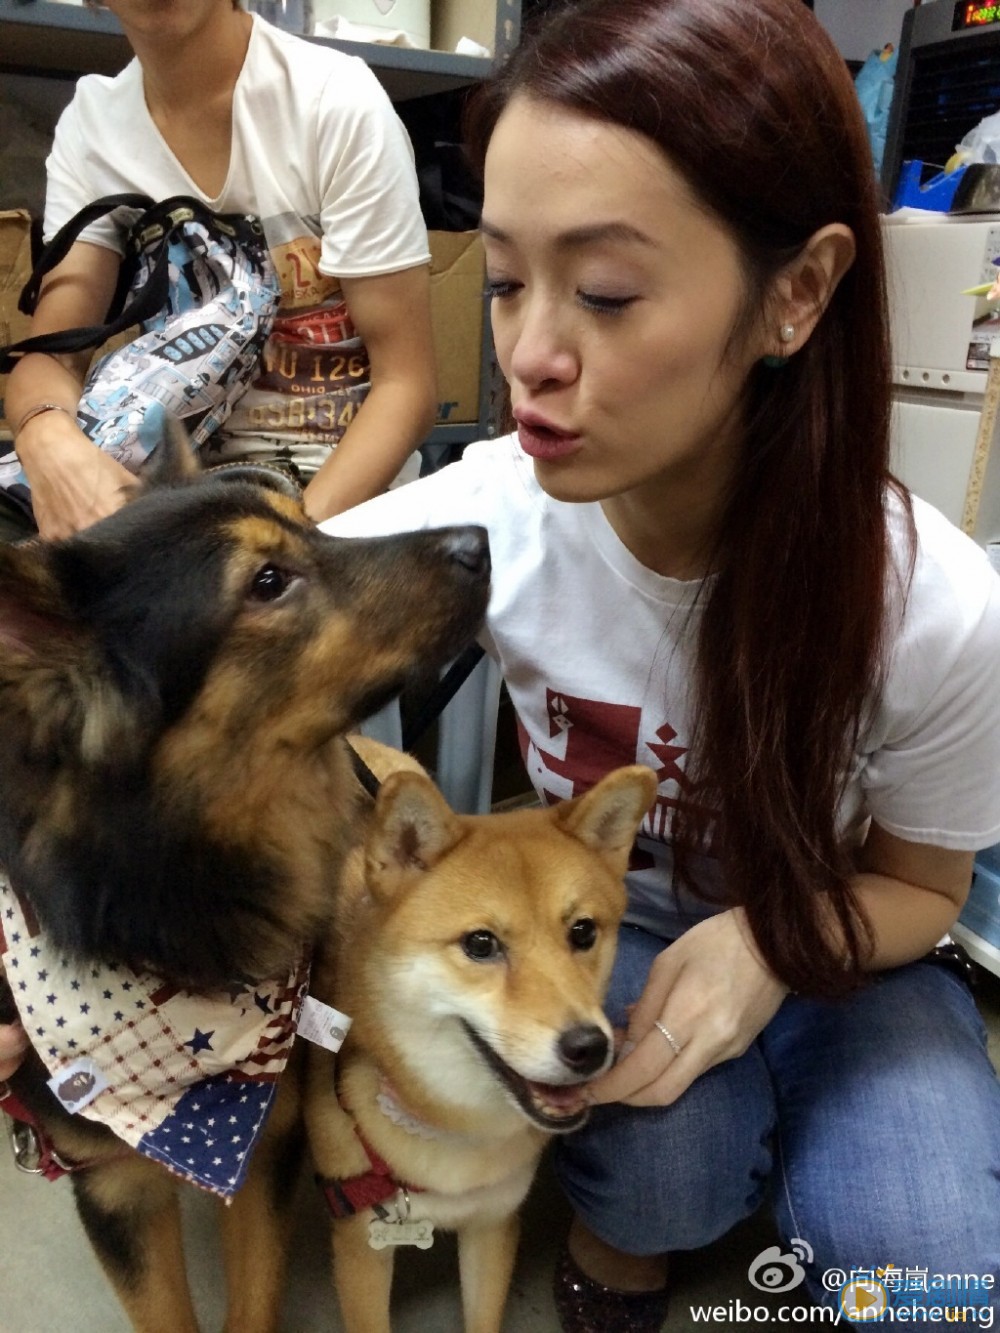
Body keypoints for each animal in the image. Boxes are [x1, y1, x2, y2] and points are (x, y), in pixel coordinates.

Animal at [0, 429, 490, 1333]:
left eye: (313, 525)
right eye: (267, 582)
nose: (481, 543)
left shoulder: (268, 1140)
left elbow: (253, 1295)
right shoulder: (114, 1186)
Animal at [304, 735, 658, 1333]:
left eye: (583, 932)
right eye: (481, 944)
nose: (589, 1048)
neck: (454, 1127)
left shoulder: (493, 1224)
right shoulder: (361, 1243)